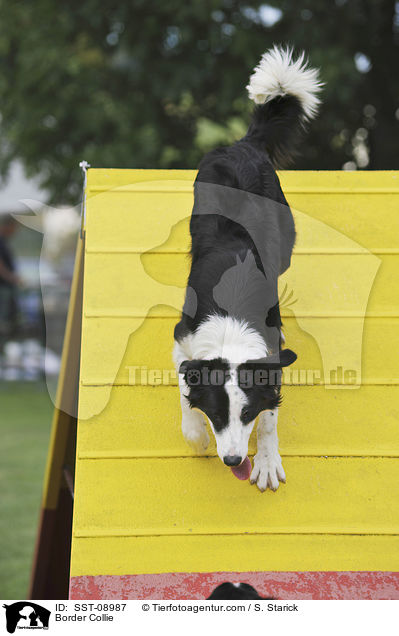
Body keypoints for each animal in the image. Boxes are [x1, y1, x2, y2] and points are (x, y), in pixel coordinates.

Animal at [173, 46, 324, 492]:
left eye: (245, 415)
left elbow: (271, 418)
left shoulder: (269, 355)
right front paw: (195, 435)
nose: (233, 460)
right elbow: (184, 385)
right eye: (217, 415)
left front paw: (267, 461)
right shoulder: (183, 339)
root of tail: (242, 144)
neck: (231, 324)